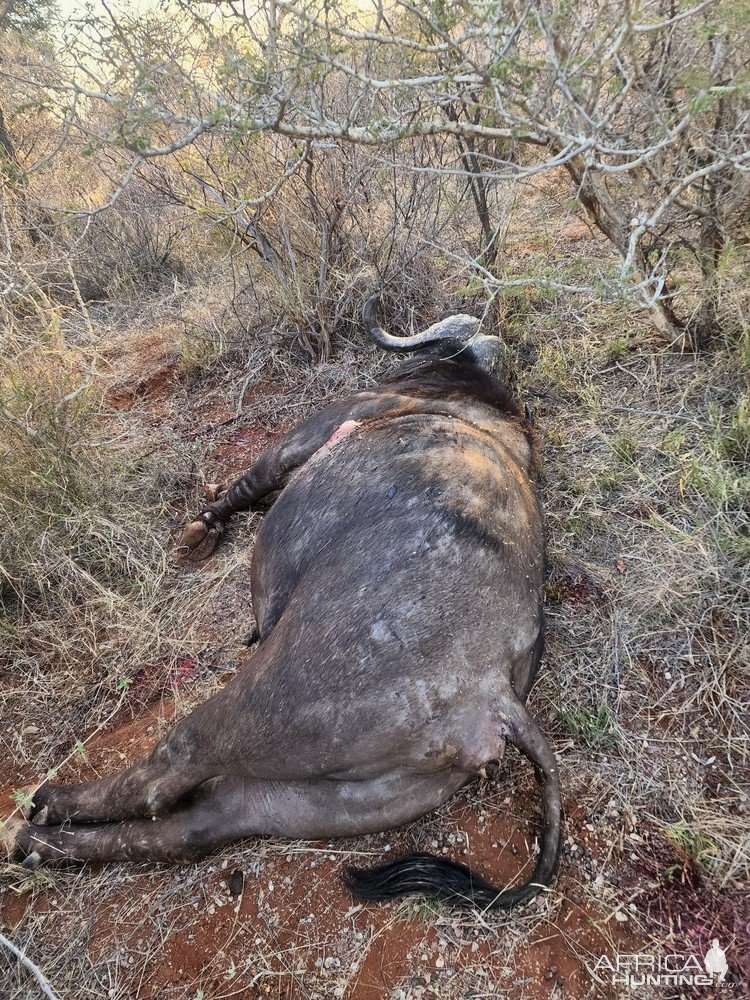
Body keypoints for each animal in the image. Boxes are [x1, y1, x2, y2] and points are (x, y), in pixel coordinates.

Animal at [8, 292, 560, 912]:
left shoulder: (302, 437)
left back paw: (44, 809)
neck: (470, 403)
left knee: (168, 770)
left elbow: (248, 482)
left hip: (263, 703)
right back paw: (42, 848)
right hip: (299, 802)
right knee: (192, 828)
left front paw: (200, 528)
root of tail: (497, 698)